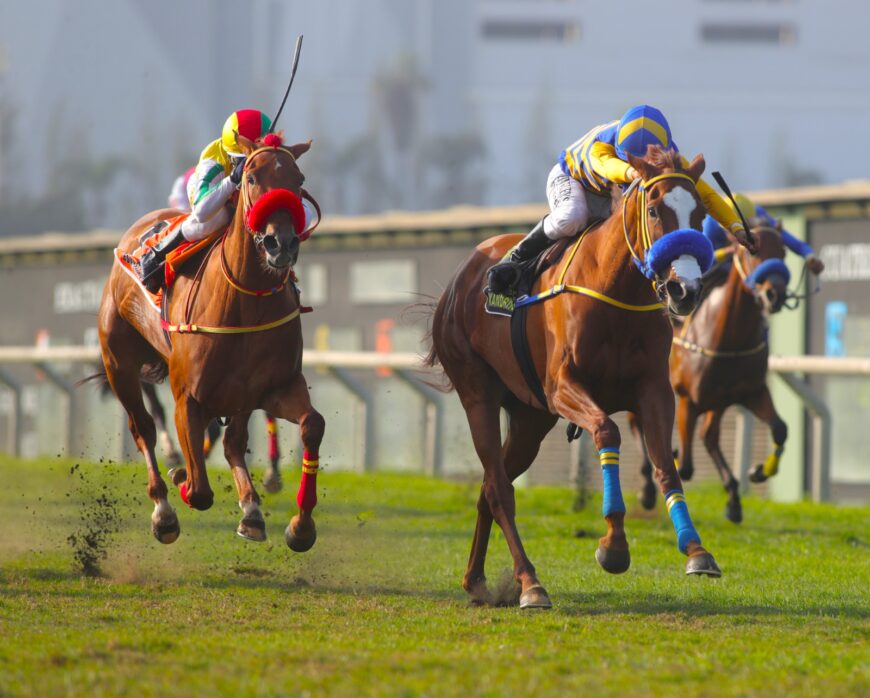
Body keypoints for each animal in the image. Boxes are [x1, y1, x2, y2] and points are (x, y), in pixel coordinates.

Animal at [99, 135, 324, 548]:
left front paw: (300, 526)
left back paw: (251, 509)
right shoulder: (187, 396)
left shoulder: (275, 386)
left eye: (298, 179)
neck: (245, 300)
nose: (281, 244)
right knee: (143, 428)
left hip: (238, 395)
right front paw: (182, 481)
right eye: (251, 177)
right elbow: (200, 491)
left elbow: (312, 425)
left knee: (233, 441)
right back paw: (164, 509)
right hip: (118, 363)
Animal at [430, 148, 744, 608]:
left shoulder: (654, 390)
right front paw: (613, 547)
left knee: (491, 485)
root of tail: (458, 280)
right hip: (478, 396)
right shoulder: (563, 388)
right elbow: (607, 431)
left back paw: (476, 580)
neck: (615, 292)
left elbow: (665, 464)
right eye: (654, 210)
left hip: (531, 419)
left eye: (700, 213)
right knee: (500, 490)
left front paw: (696, 550)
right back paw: (530, 583)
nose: (684, 290)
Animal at [632, 220, 796, 520]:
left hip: (717, 402)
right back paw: (648, 490)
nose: (774, 295)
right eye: (753, 252)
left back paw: (733, 497)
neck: (729, 337)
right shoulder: (688, 399)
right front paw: (671, 460)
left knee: (709, 437)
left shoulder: (751, 392)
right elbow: (684, 465)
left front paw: (759, 471)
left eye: (783, 252)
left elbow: (780, 428)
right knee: (638, 425)